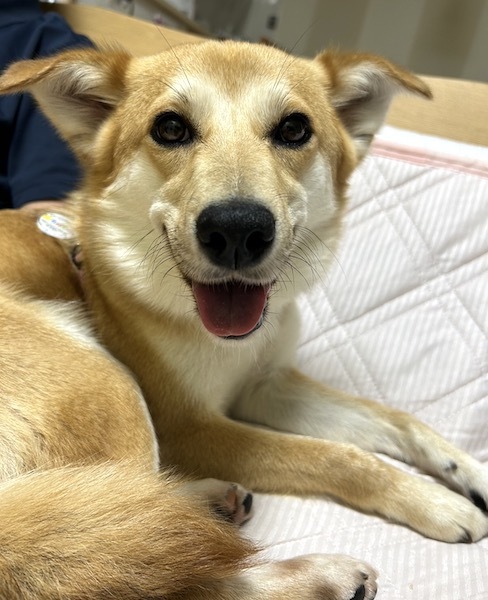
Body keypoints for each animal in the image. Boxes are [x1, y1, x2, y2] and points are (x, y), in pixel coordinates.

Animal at [1, 39, 488, 598]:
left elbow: (394, 418)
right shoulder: (190, 427)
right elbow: (335, 456)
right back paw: (317, 576)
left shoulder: (265, 384)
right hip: (106, 382)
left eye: (294, 128)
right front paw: (436, 500)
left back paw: (205, 504)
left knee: (122, 526)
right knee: (127, 566)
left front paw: (470, 472)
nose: (237, 230)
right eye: (170, 128)